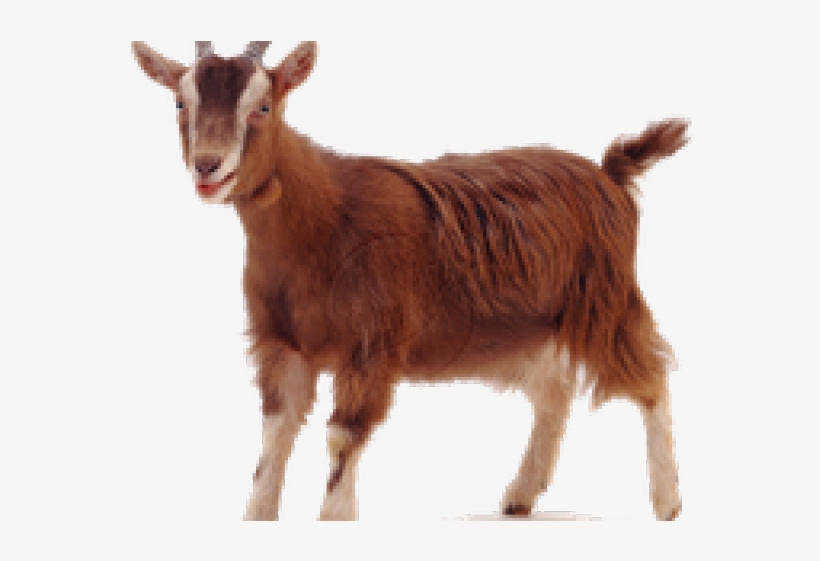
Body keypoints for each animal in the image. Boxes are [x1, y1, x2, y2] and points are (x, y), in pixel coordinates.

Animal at [132, 40, 686, 521]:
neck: (325, 217)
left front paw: (335, 517)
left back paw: (667, 502)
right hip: (532, 327)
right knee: (554, 392)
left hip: (605, 302)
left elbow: (342, 436)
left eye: (263, 107)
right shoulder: (281, 343)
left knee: (652, 378)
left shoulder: (372, 343)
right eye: (180, 104)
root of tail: (610, 175)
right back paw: (520, 496)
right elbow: (275, 435)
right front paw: (257, 516)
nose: (208, 166)